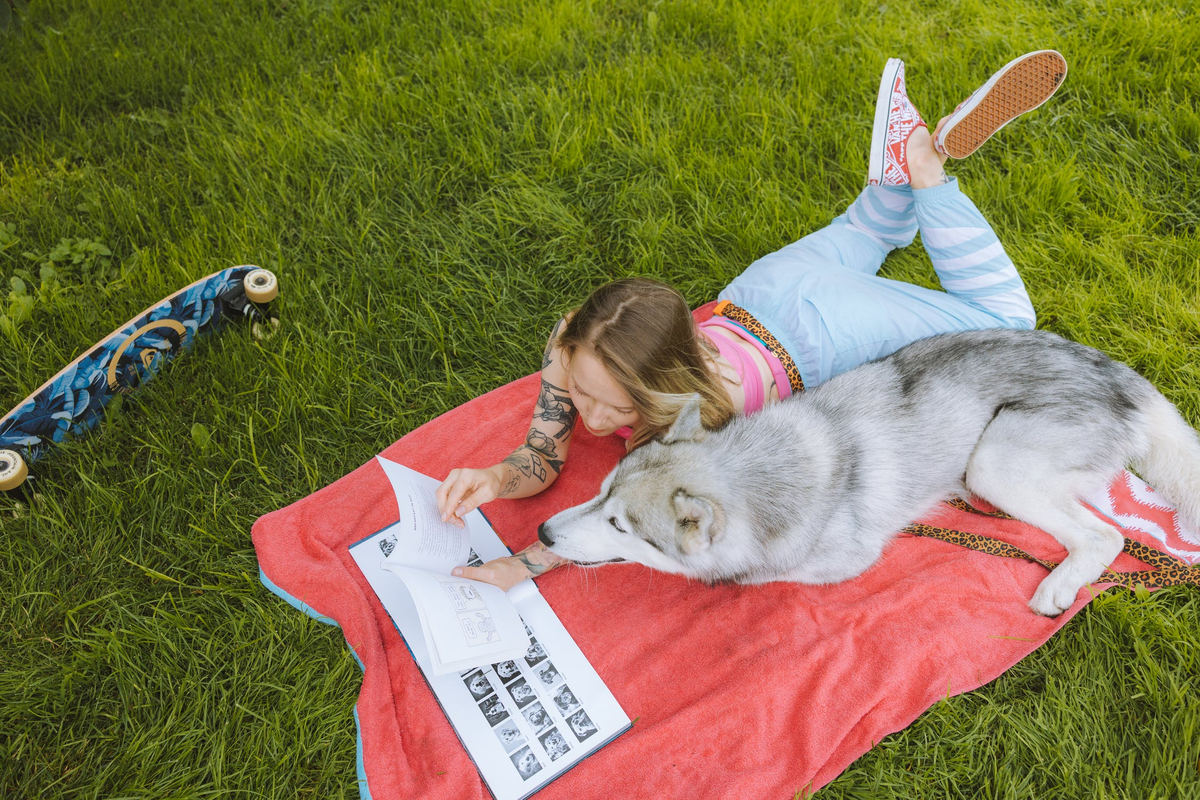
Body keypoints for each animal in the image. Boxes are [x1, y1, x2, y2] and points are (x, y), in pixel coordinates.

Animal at [542, 328, 1200, 618]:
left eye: (621, 526)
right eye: (599, 491)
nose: (545, 533)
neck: (760, 472)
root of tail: (1132, 382)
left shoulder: (842, 562)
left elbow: (770, 576)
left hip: (992, 466)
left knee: (1106, 536)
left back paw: (1059, 587)